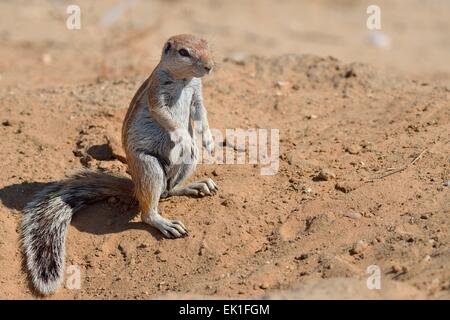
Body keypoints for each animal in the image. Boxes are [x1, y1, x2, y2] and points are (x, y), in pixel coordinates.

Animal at [21, 34, 218, 296]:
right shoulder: (157, 93)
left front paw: (209, 140)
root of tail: (135, 186)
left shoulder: (196, 94)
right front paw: (184, 138)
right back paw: (165, 223)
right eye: (184, 52)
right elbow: (165, 117)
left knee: (169, 190)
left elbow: (201, 114)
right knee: (148, 211)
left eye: (207, 44)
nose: (209, 67)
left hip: (186, 164)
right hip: (148, 166)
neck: (184, 80)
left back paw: (196, 184)